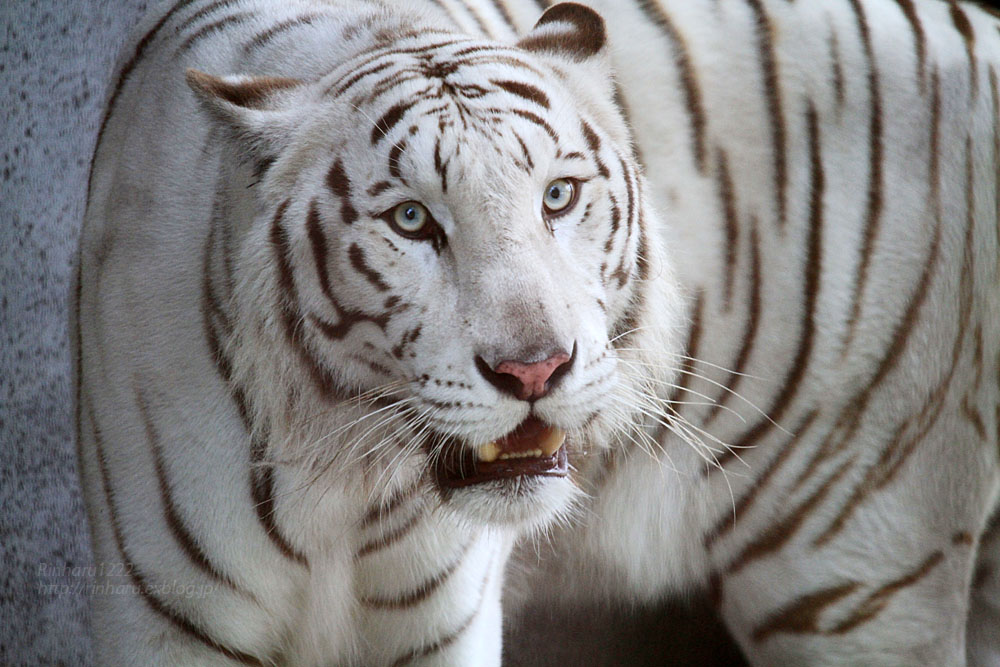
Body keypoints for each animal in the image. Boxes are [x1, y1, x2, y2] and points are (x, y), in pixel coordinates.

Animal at [74, 1, 1000, 667]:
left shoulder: (437, 628)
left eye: (557, 196)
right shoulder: (163, 619)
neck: (344, 489)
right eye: (412, 220)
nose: (535, 370)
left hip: (862, 558)